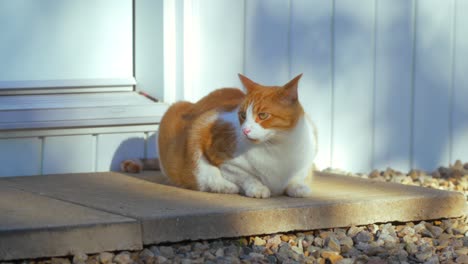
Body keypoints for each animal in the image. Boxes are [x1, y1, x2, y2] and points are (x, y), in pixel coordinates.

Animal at [121, 74, 318, 198]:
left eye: (263, 116)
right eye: (242, 115)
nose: (245, 130)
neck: (278, 147)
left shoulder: (307, 157)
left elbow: (297, 176)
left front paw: (298, 187)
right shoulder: (219, 155)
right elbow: (246, 176)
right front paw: (258, 188)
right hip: (176, 112)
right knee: (210, 179)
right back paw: (227, 187)